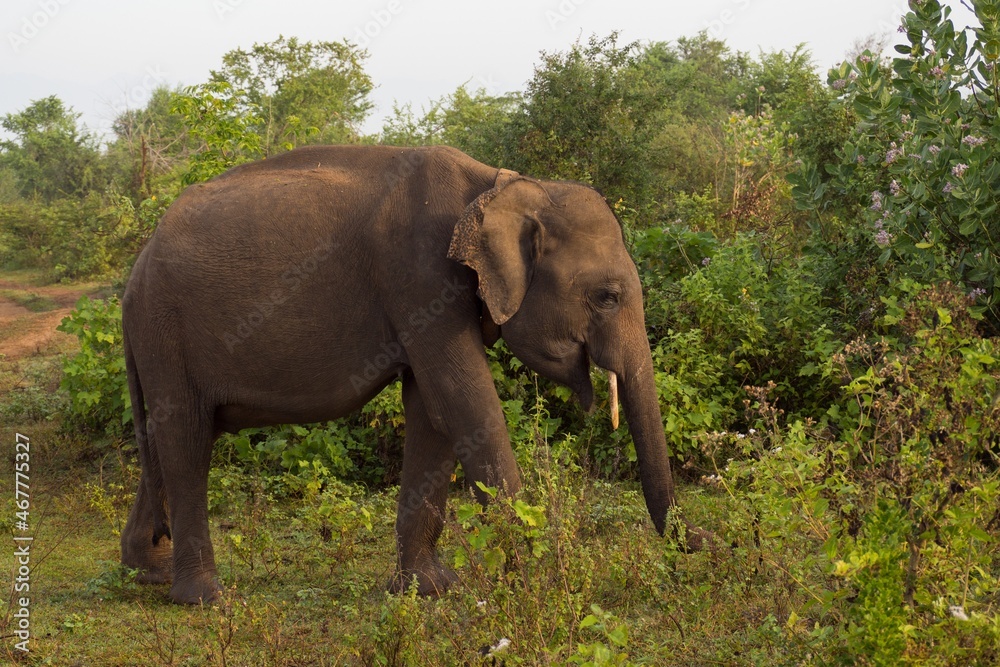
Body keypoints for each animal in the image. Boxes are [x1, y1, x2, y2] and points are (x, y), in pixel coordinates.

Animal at [120, 144, 701, 605]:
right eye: (608, 296)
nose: (704, 543)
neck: (499, 186)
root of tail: (133, 275)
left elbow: (432, 411)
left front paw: (429, 589)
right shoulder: (419, 277)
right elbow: (464, 401)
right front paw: (543, 578)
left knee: (166, 438)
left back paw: (147, 572)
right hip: (166, 328)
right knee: (187, 439)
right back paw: (203, 598)